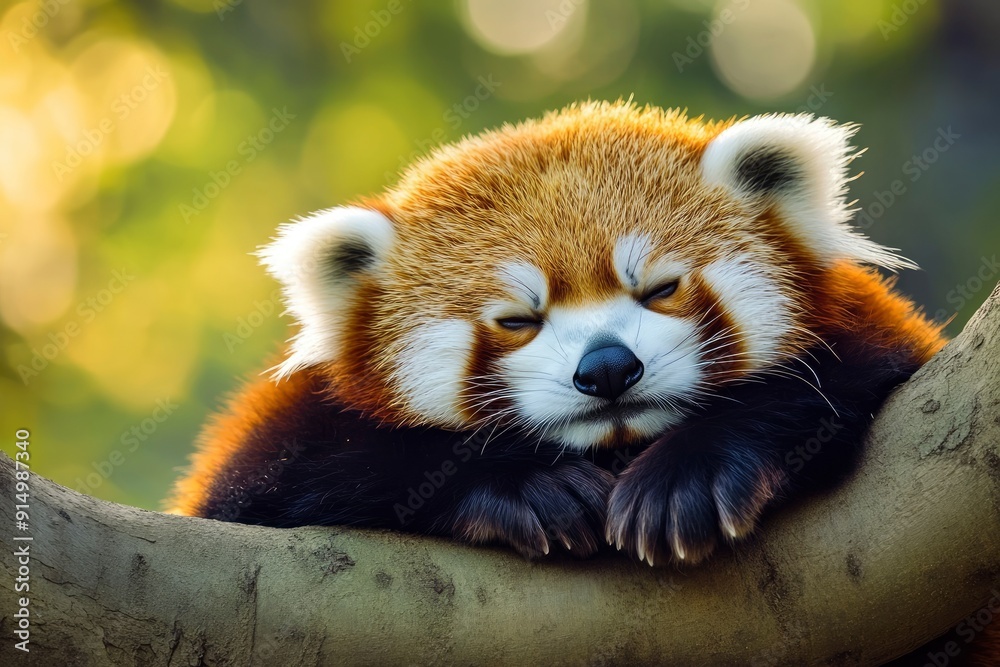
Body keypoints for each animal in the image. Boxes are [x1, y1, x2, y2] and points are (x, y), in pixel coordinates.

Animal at [168, 101, 946, 569]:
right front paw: (531, 484)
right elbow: (287, 483)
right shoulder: (273, 446)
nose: (606, 370)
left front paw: (689, 474)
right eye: (518, 319)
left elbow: (846, 375)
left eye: (659, 288)